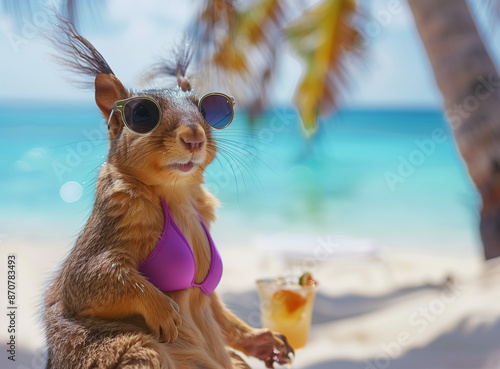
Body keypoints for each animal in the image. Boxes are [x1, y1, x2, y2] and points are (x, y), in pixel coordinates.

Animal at [44, 18, 292, 368]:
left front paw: (261, 339)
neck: (177, 193)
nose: (194, 138)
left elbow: (217, 309)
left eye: (207, 109)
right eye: (141, 114)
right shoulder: (111, 226)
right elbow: (92, 277)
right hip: (131, 348)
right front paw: (164, 312)